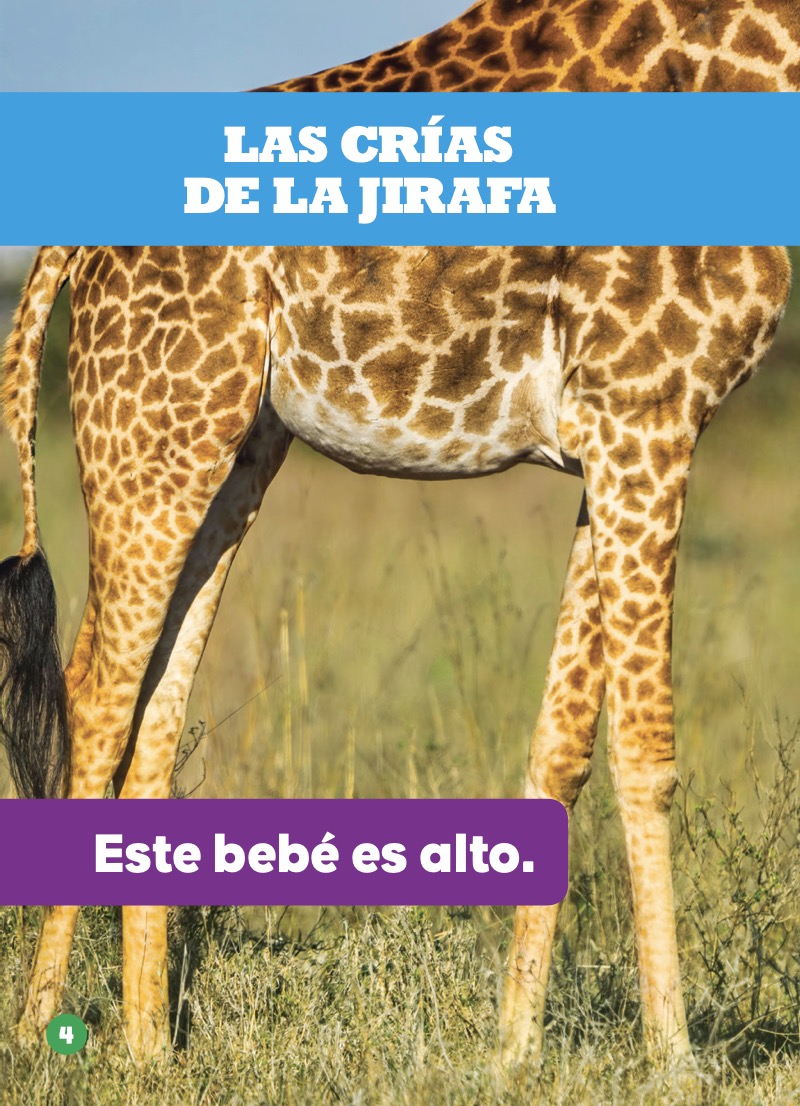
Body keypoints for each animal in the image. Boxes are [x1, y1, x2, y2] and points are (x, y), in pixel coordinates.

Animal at [0, 0, 797, 1068]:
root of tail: (69, 249)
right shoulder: (650, 415)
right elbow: (647, 752)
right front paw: (672, 1059)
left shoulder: (608, 447)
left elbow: (561, 748)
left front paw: (512, 1054)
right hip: (155, 432)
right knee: (95, 697)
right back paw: (44, 1030)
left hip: (232, 449)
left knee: (156, 718)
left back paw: (149, 1049)